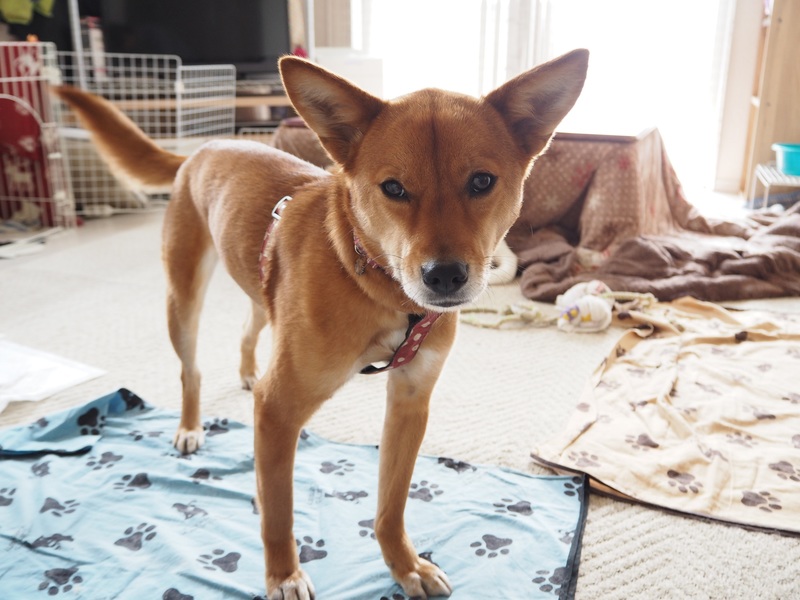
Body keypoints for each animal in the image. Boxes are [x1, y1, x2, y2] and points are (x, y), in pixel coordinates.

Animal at [55, 49, 587, 599]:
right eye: (393, 188)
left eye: (481, 181)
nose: (444, 276)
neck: (375, 283)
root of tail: (204, 147)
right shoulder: (278, 407)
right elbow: (280, 513)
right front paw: (283, 574)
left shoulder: (410, 401)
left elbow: (390, 505)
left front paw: (404, 566)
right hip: (182, 299)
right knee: (191, 370)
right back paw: (189, 426)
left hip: (260, 294)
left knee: (249, 328)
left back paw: (247, 373)